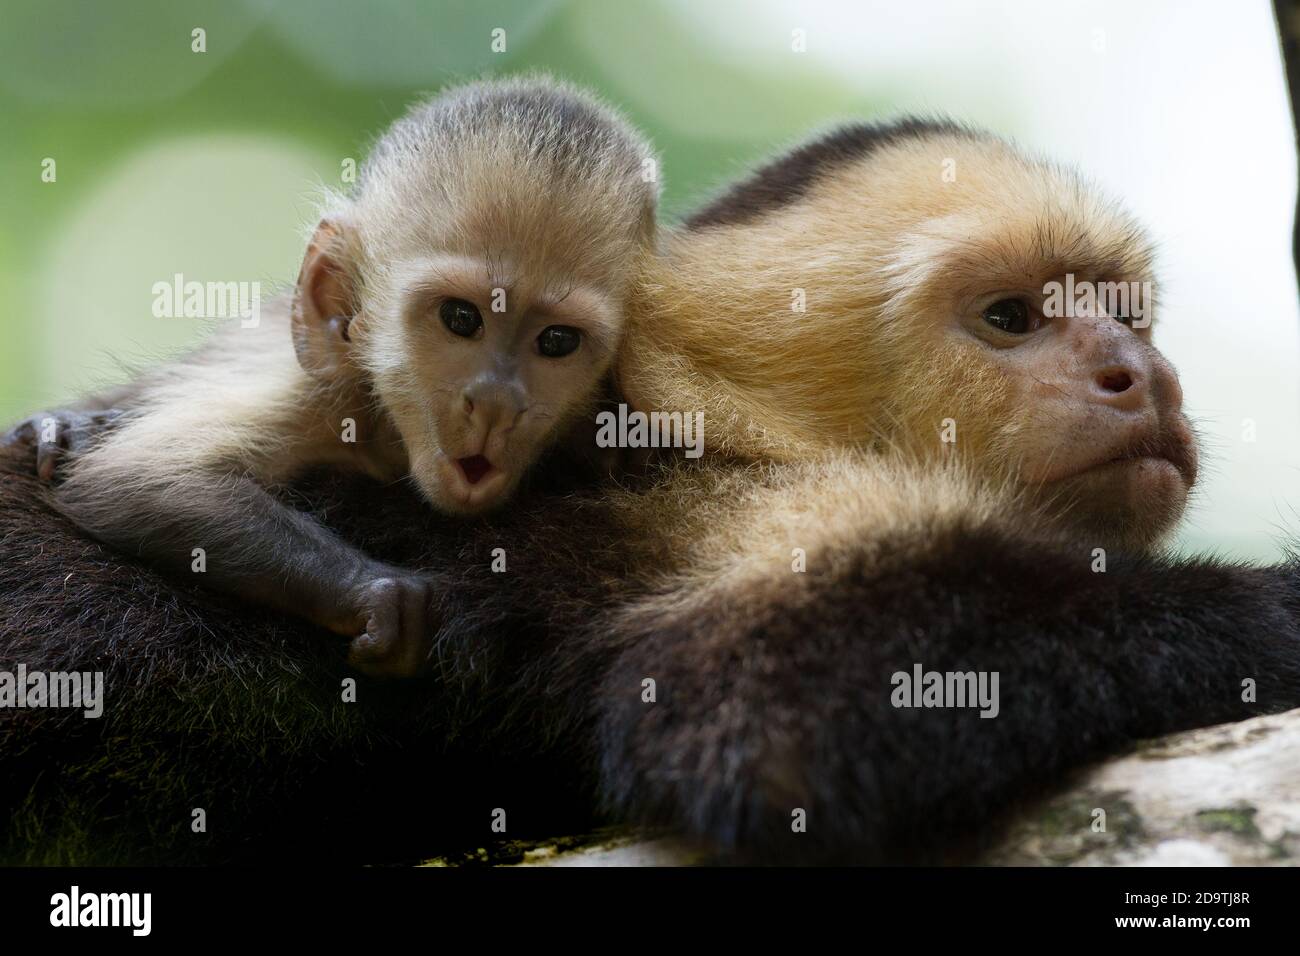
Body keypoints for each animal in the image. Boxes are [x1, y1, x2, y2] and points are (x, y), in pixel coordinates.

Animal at [1, 76, 658, 680]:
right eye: (460, 318)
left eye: (557, 342)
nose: (497, 403)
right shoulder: (314, 393)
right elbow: (134, 479)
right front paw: (377, 594)